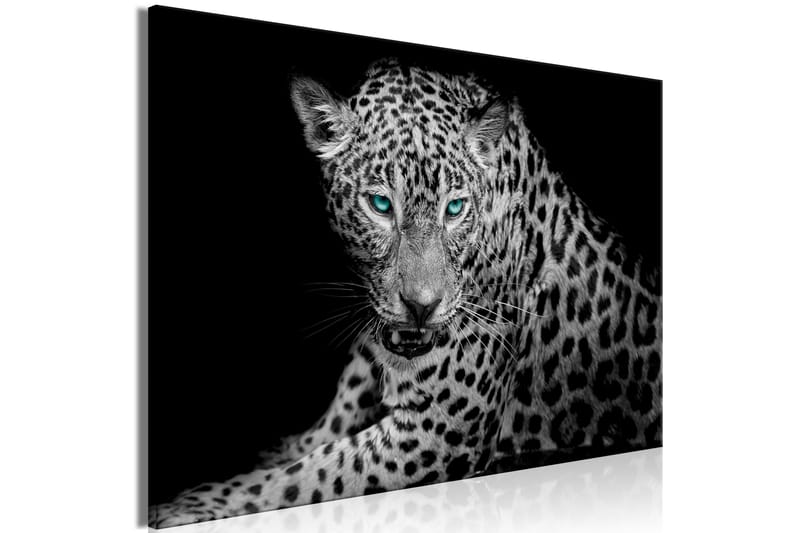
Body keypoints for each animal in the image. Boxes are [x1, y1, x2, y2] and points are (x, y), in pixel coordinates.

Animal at [149, 58, 662, 528]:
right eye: (380, 205)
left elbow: (304, 477)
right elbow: (319, 436)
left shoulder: (439, 431)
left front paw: (192, 504)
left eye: (454, 209)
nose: (421, 307)